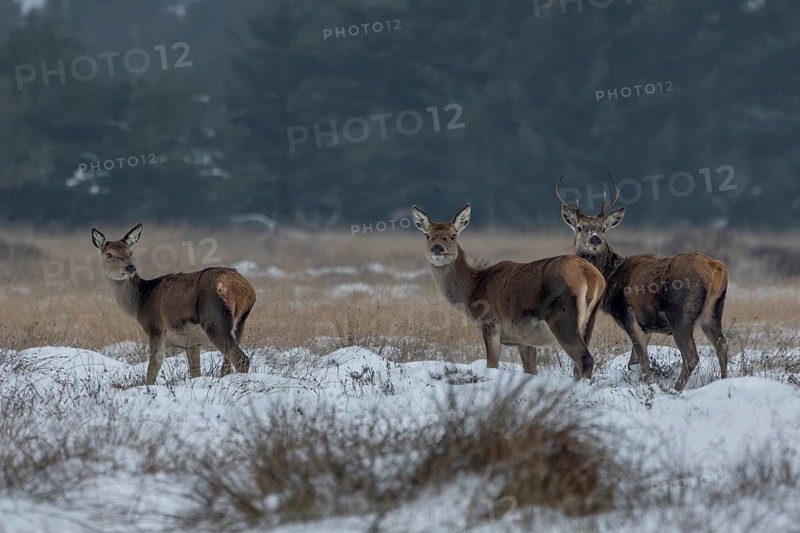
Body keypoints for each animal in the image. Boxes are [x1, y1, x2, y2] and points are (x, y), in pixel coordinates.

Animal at [91, 224, 256, 385]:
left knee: (241, 360)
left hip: (214, 320)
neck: (141, 302)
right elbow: (195, 372)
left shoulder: (156, 329)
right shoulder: (191, 343)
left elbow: (152, 372)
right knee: (227, 366)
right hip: (239, 324)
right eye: (109, 254)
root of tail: (244, 289)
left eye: (130, 252)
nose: (130, 267)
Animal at [412, 204, 606, 379]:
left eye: (453, 235)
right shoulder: (524, 339)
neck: (473, 290)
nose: (437, 248)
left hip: (563, 317)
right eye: (427, 235)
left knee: (585, 359)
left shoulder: (490, 321)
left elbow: (492, 365)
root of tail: (593, 277)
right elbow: (531, 370)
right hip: (589, 321)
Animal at [556, 175, 729, 391]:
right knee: (723, 346)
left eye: (603, 229)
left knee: (691, 356)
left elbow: (642, 359)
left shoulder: (627, 314)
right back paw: (724, 380)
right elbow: (634, 361)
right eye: (580, 228)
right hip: (714, 311)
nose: (595, 239)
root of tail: (717, 267)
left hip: (681, 312)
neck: (610, 275)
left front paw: (648, 385)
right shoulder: (646, 325)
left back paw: (675, 390)